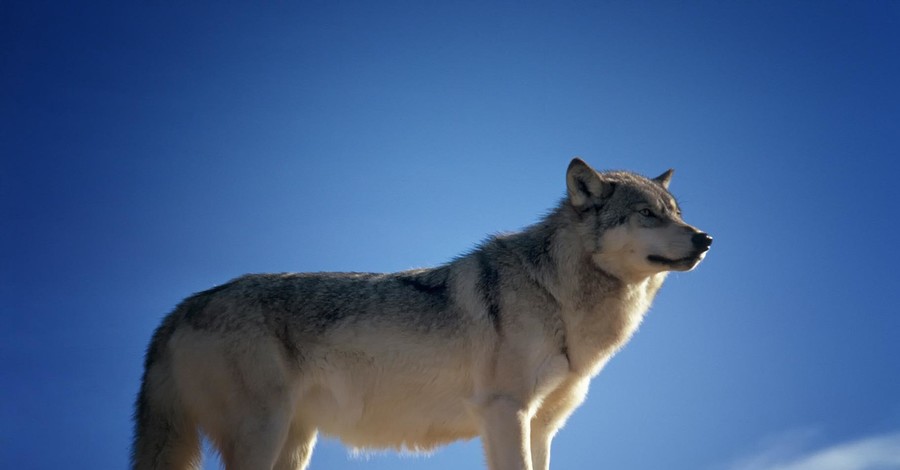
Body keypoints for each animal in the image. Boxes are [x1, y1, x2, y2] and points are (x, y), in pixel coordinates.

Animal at [132, 159, 712, 470]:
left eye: (677, 213)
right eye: (648, 215)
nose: (705, 238)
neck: (554, 295)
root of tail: (176, 311)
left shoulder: (542, 426)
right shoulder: (505, 413)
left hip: (293, 445)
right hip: (263, 435)